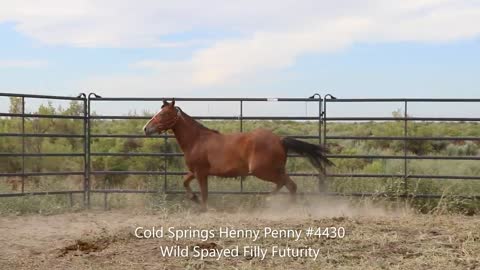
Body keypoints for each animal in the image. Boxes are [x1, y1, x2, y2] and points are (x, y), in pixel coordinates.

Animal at [141, 98, 332, 212]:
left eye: (165, 113)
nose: (146, 129)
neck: (196, 140)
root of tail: (279, 139)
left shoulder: (201, 173)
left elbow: (205, 193)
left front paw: (203, 208)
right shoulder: (196, 171)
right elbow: (185, 182)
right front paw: (193, 198)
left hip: (262, 171)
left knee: (285, 184)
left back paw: (269, 201)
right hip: (276, 169)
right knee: (290, 185)